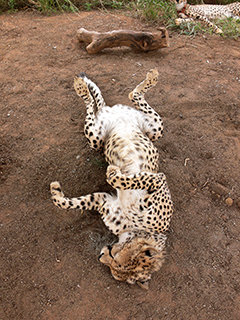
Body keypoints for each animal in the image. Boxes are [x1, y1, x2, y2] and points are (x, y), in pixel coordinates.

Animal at [50, 70, 172, 290]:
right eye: (116, 259)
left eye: (115, 268)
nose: (100, 256)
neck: (137, 228)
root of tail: (115, 113)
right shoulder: (159, 179)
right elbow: (131, 180)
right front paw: (114, 172)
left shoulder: (103, 200)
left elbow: (72, 203)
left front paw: (56, 192)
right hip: (148, 130)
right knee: (115, 98)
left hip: (99, 134)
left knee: (104, 104)